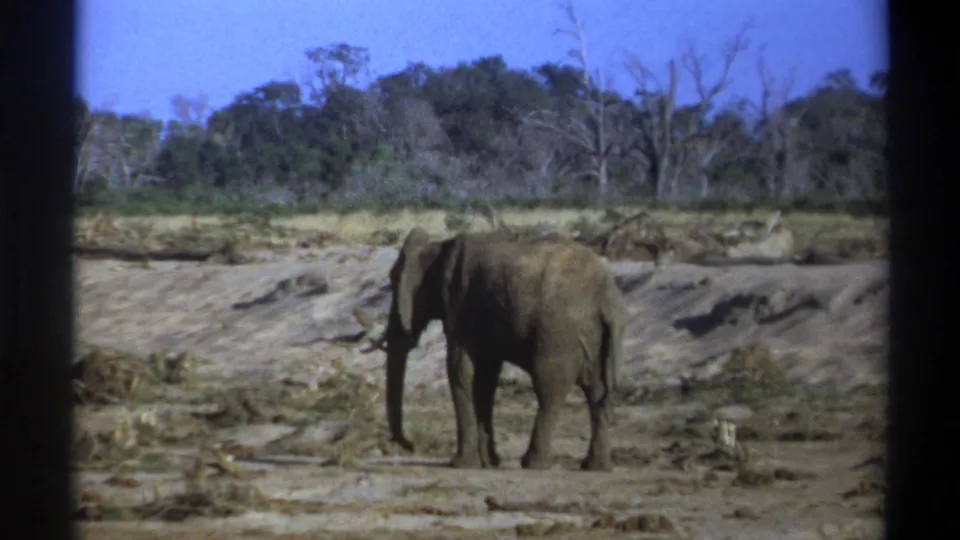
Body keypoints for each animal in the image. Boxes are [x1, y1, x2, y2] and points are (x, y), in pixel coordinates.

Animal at [380, 227, 627, 471]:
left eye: (392, 279)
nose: (412, 444)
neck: (438, 248)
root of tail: (607, 298)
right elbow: (485, 378)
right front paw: (488, 462)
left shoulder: (460, 305)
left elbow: (460, 371)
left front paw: (461, 464)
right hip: (592, 335)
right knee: (596, 392)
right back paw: (596, 466)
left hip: (559, 331)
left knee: (549, 388)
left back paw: (533, 463)